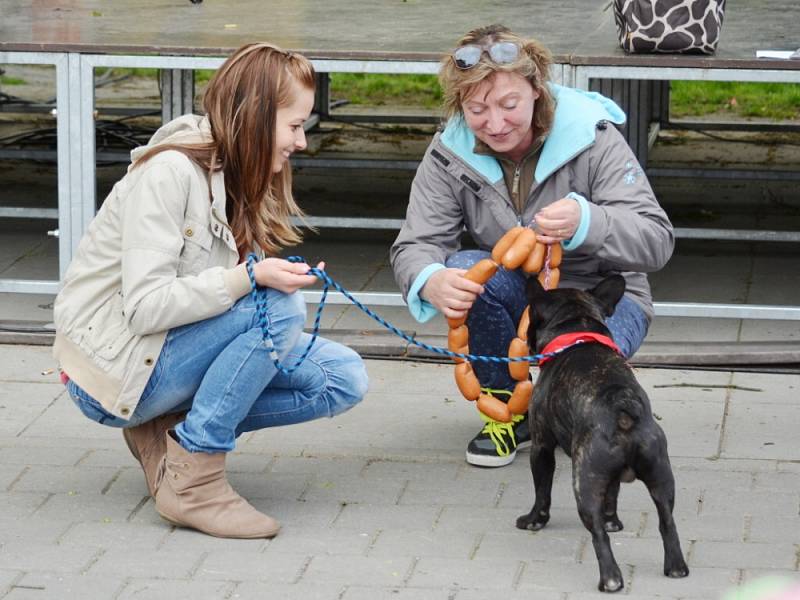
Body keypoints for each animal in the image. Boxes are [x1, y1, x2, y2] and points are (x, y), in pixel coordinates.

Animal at [516, 276, 692, 592]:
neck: (578, 328)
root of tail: (622, 409)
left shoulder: (542, 447)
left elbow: (542, 492)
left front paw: (534, 520)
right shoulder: (611, 479)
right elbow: (613, 494)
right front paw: (614, 521)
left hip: (583, 480)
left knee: (598, 534)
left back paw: (610, 579)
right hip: (661, 474)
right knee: (667, 521)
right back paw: (675, 567)